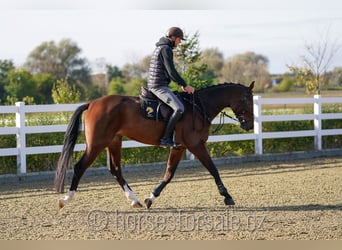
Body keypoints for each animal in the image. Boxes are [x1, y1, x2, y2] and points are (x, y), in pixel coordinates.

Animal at [54, 81, 254, 209]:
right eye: (247, 100)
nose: (250, 125)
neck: (198, 107)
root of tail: (92, 103)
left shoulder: (179, 147)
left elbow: (168, 174)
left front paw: (150, 199)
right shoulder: (196, 146)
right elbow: (213, 170)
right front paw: (227, 197)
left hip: (113, 142)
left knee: (116, 170)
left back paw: (134, 200)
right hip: (97, 144)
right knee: (80, 167)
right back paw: (65, 199)